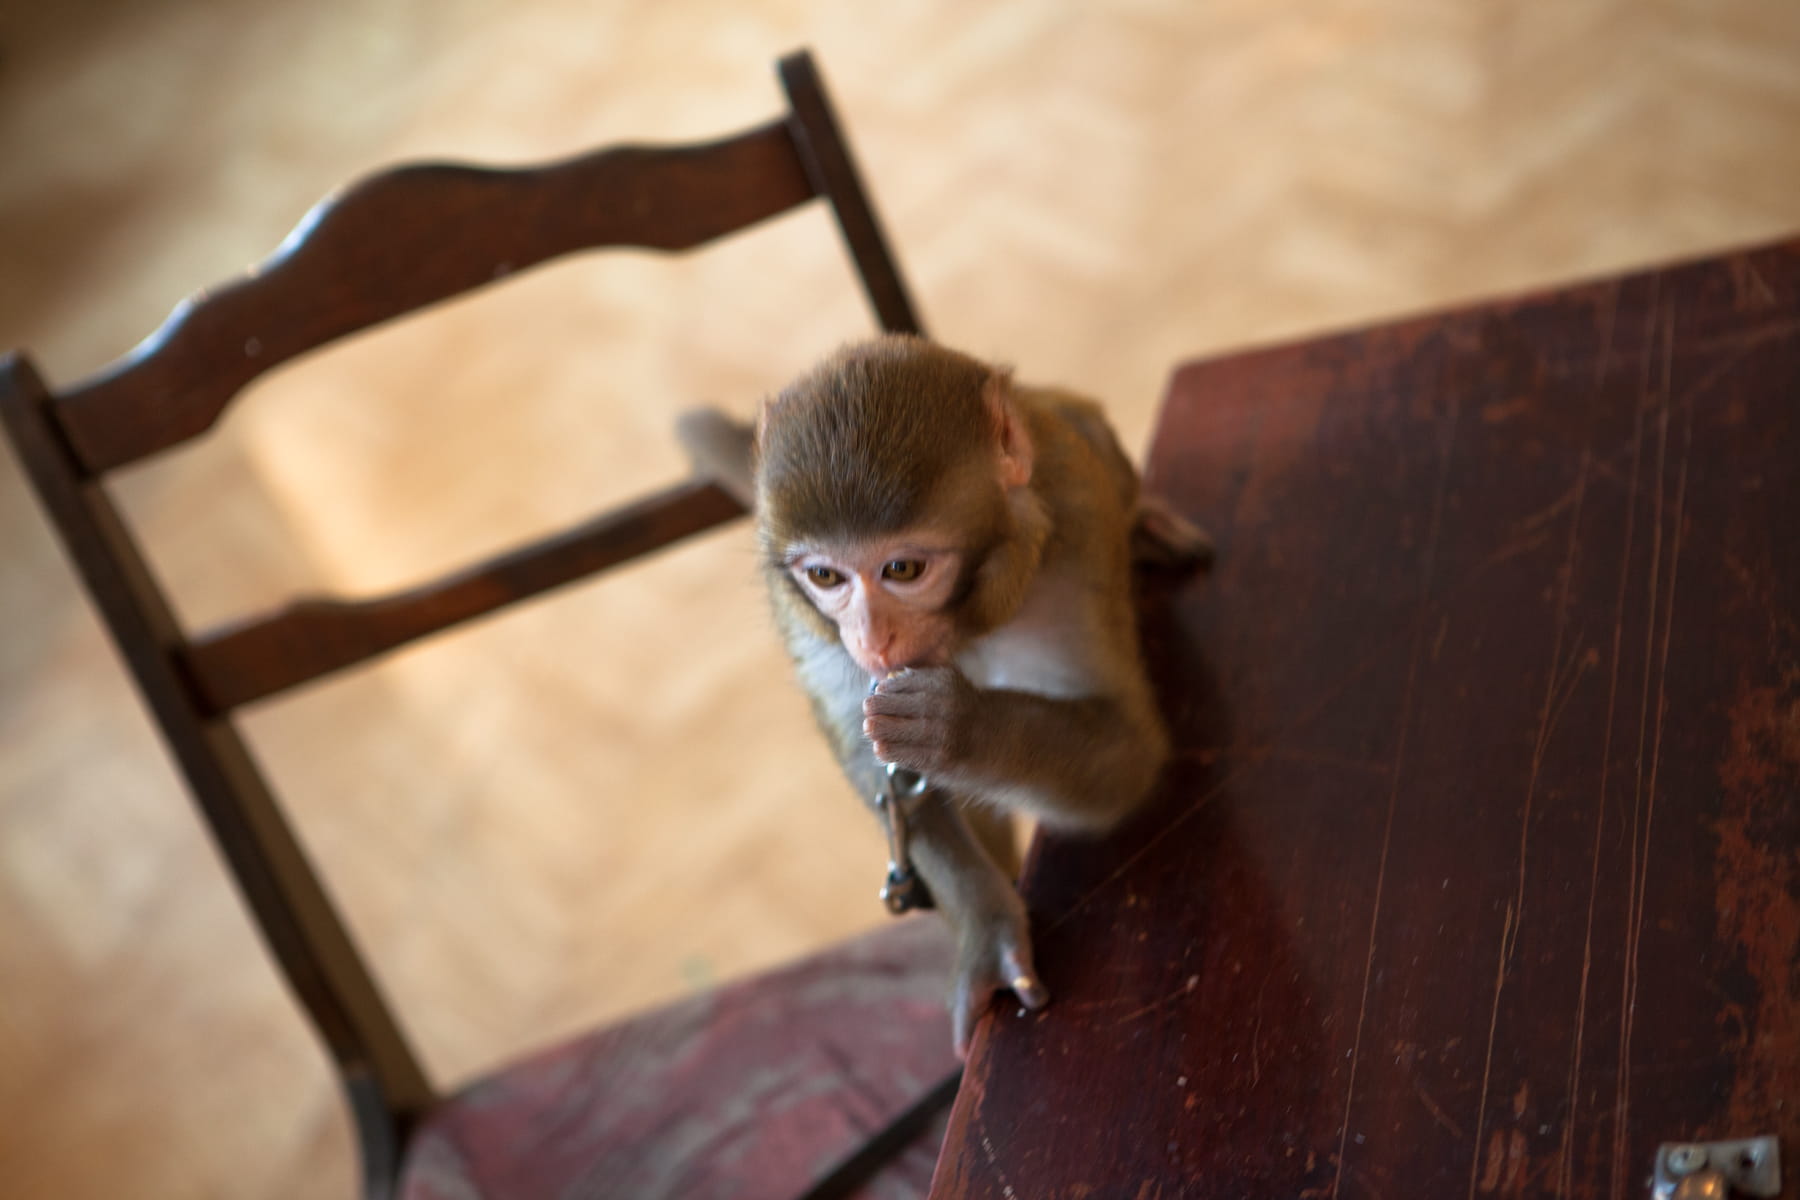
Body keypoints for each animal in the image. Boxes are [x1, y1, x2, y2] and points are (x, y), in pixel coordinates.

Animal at [679, 335, 1210, 1055]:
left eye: (902, 569)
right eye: (826, 576)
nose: (872, 639)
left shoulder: (1071, 536)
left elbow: (1128, 750)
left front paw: (958, 727)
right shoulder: (807, 621)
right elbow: (877, 766)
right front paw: (986, 928)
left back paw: (1145, 522)